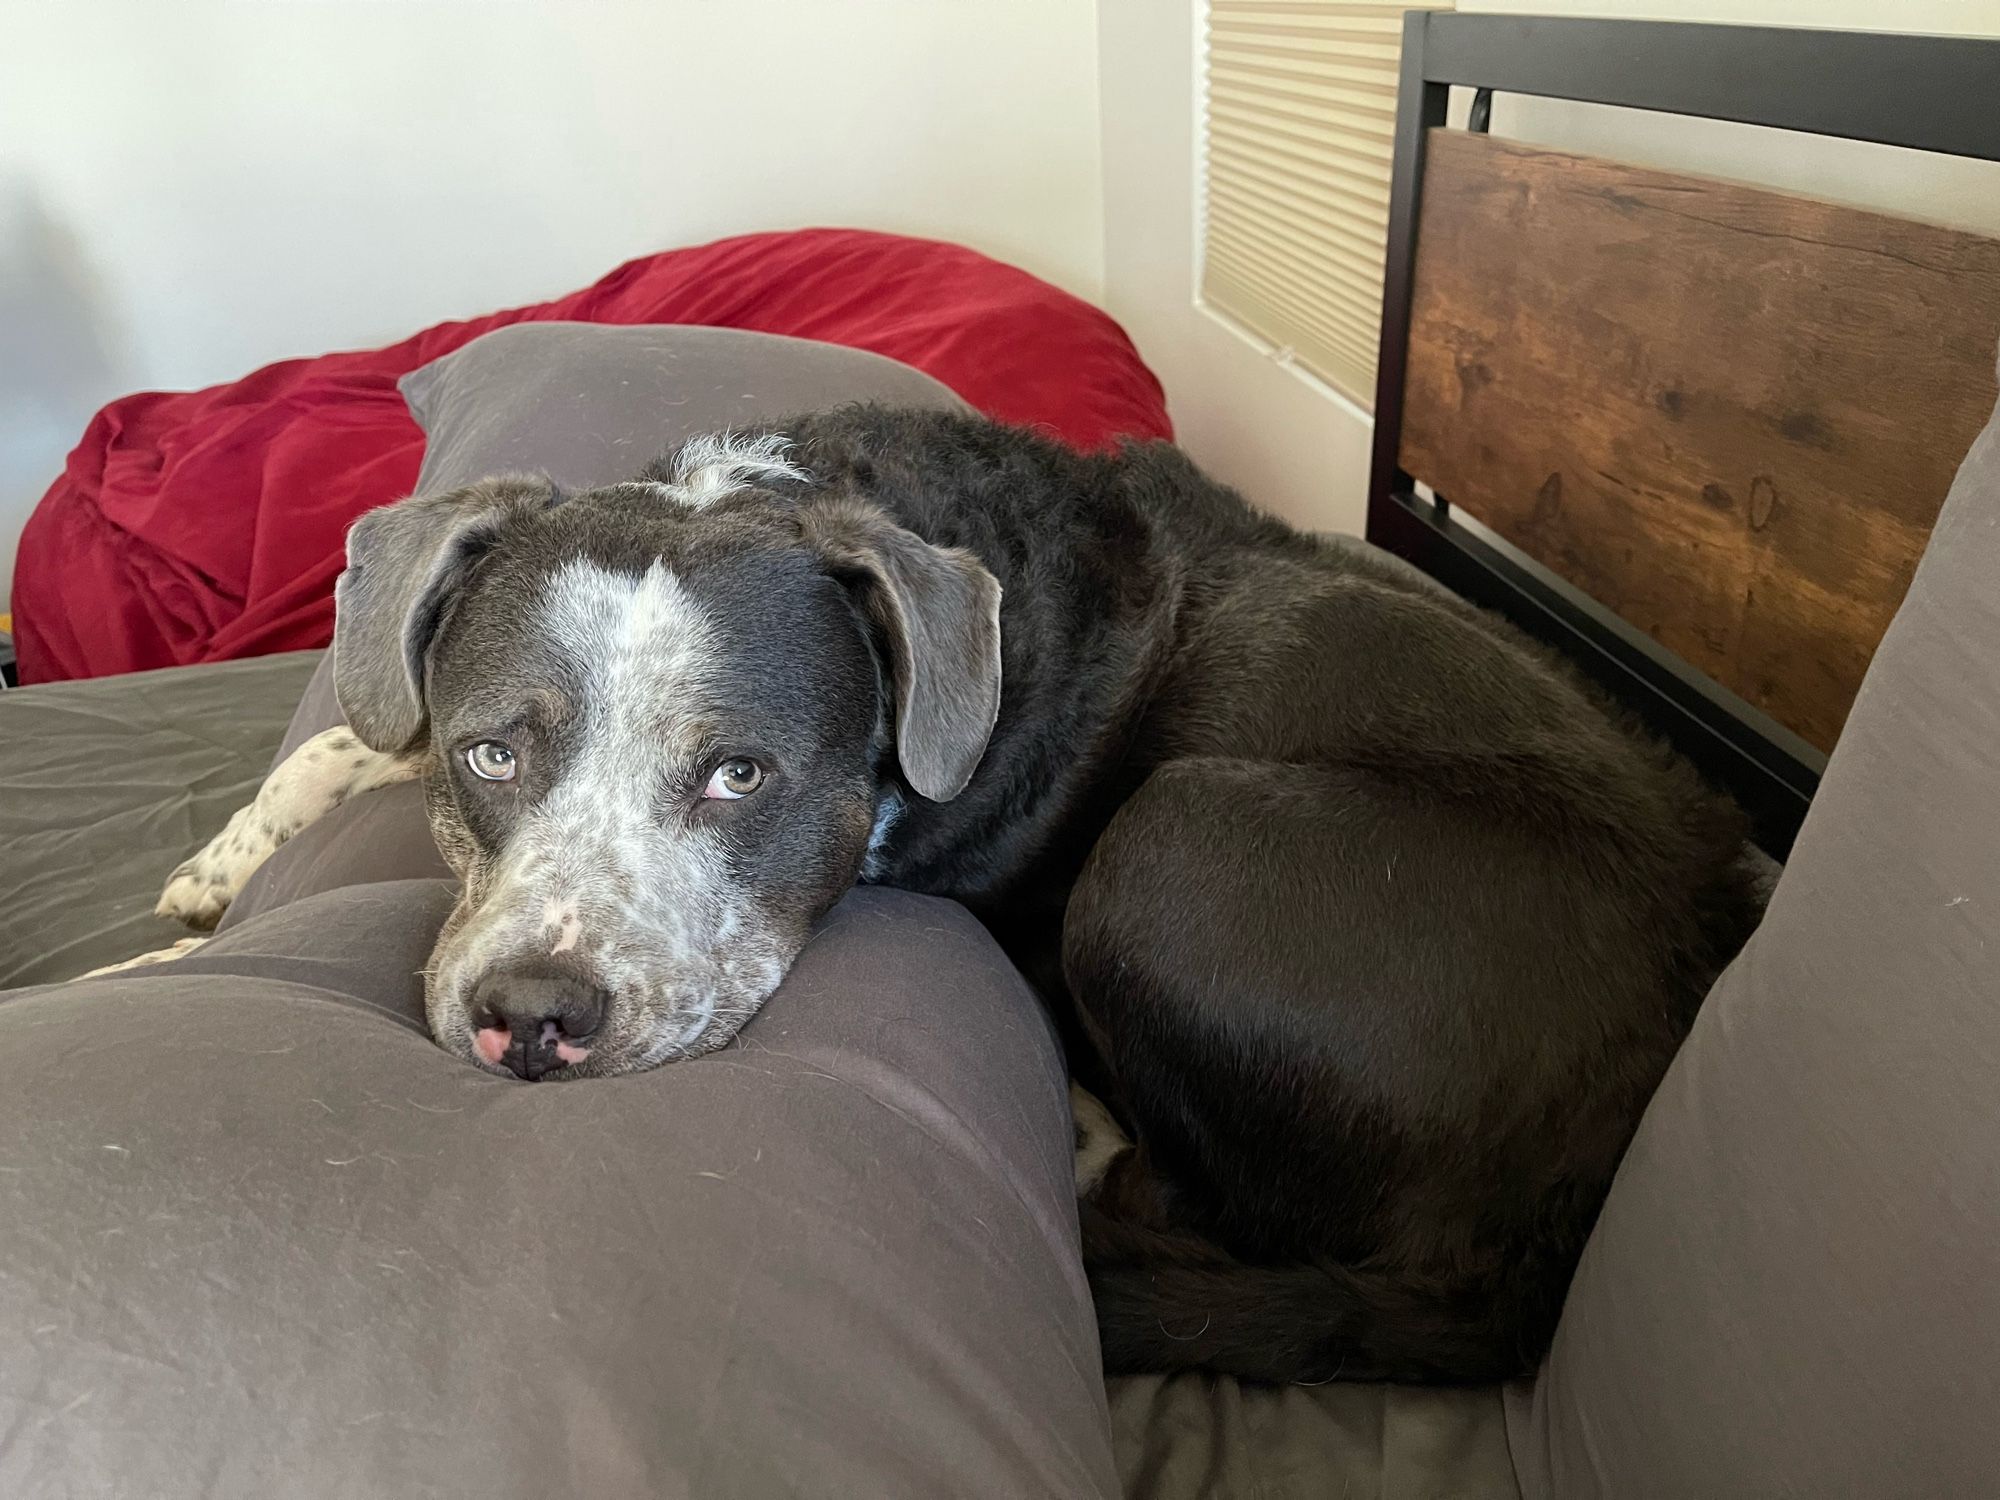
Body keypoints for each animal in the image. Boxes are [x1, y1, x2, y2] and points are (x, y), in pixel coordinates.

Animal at [117, 402, 1760, 1384]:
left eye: (740, 776)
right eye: (494, 753)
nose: (531, 1016)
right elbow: (354, 725)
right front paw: (204, 887)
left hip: (1170, 846)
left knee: (1202, 1196)